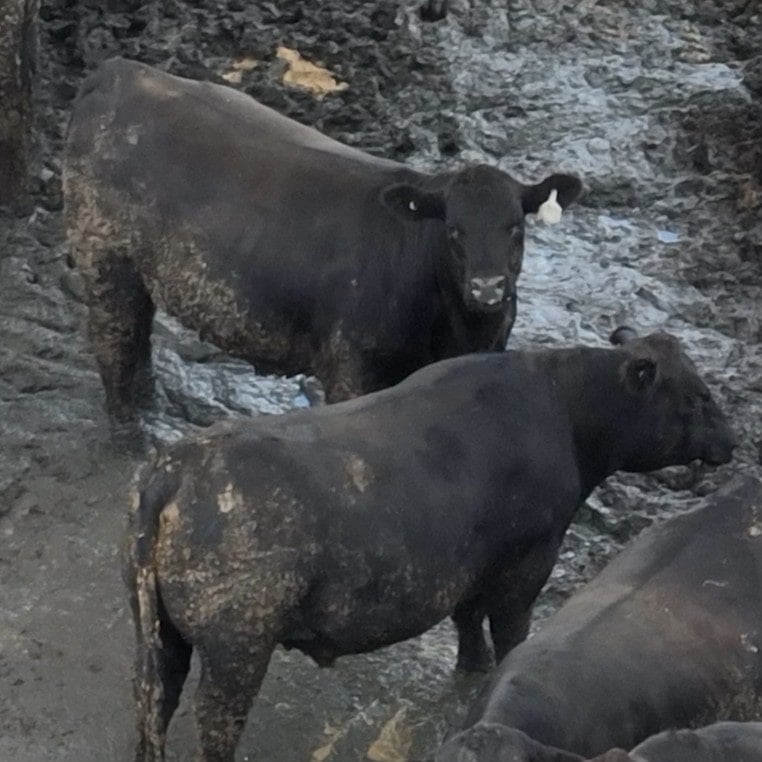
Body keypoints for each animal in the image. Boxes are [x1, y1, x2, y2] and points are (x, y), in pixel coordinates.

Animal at [62, 57, 582, 442]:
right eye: (454, 231)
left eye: (515, 226)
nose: (488, 287)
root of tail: (119, 71)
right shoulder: (351, 367)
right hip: (105, 256)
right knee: (115, 340)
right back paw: (131, 434)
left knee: (139, 334)